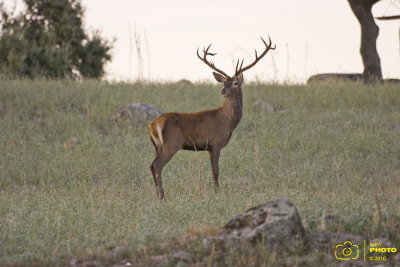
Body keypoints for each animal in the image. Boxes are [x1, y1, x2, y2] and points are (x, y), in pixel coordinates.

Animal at [148, 36, 276, 200]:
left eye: (235, 82)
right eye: (223, 83)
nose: (223, 91)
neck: (226, 120)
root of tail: (153, 124)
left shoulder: (209, 147)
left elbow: (212, 170)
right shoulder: (216, 143)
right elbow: (216, 171)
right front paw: (217, 192)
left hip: (157, 145)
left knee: (151, 165)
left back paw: (157, 195)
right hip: (172, 143)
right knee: (157, 166)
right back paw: (162, 197)